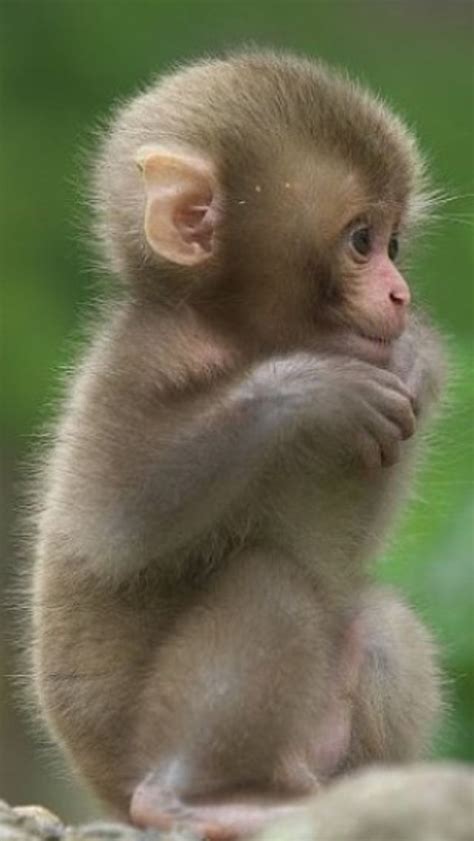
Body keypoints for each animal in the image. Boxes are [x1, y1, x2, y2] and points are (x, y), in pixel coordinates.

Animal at [31, 52, 446, 840]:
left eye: (396, 243)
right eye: (361, 241)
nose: (401, 292)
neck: (238, 335)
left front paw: (415, 354)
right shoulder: (136, 360)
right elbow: (119, 519)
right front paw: (312, 387)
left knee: (380, 624)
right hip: (130, 747)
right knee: (271, 581)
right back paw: (178, 796)